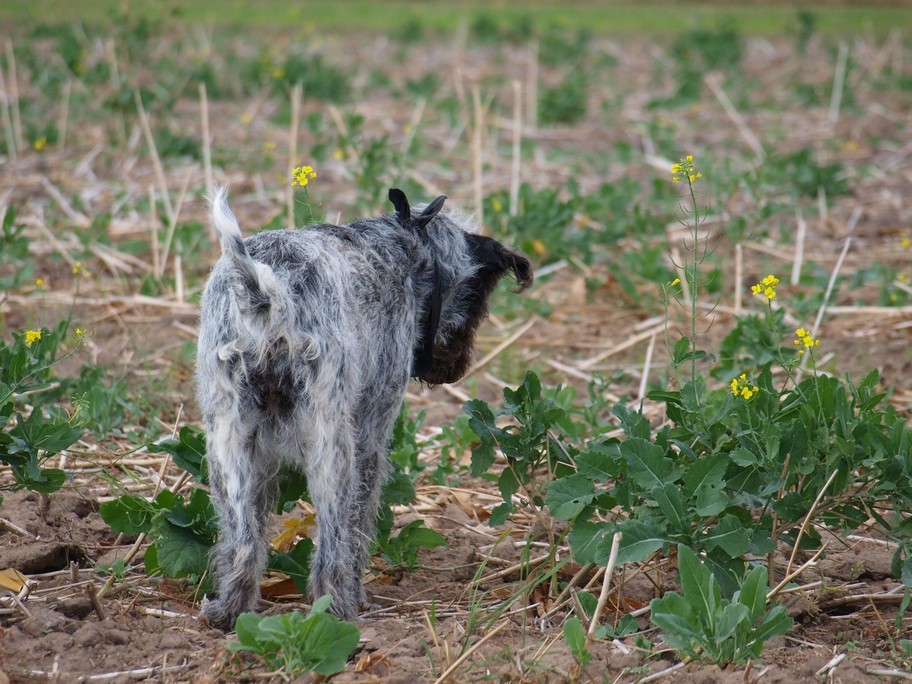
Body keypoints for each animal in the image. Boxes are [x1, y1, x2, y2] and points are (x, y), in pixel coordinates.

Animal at [196, 187, 532, 632]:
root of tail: (263, 296)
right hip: (331, 450)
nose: (457, 368)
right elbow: (360, 524)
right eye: (478, 295)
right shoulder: (370, 434)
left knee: (243, 546)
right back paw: (338, 607)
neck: (396, 247)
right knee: (332, 547)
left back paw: (229, 611)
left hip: (227, 448)